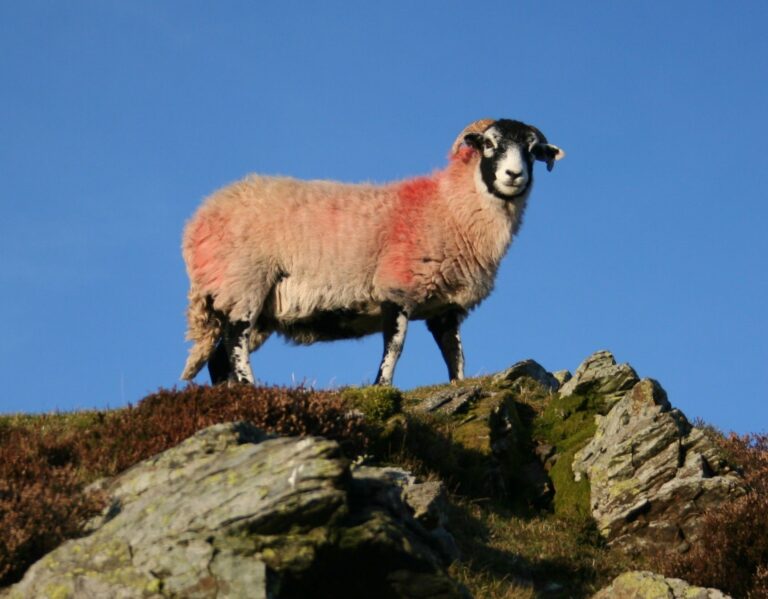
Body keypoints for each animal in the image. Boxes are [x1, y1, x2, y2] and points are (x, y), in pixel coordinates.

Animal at [180, 118, 564, 386]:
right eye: (488, 143)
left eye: (533, 150)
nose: (514, 175)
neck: (448, 206)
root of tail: (197, 223)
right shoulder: (398, 287)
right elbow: (395, 346)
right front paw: (381, 386)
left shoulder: (446, 309)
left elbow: (455, 354)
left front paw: (458, 385)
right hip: (243, 282)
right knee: (235, 341)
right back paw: (250, 386)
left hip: (256, 305)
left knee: (218, 358)